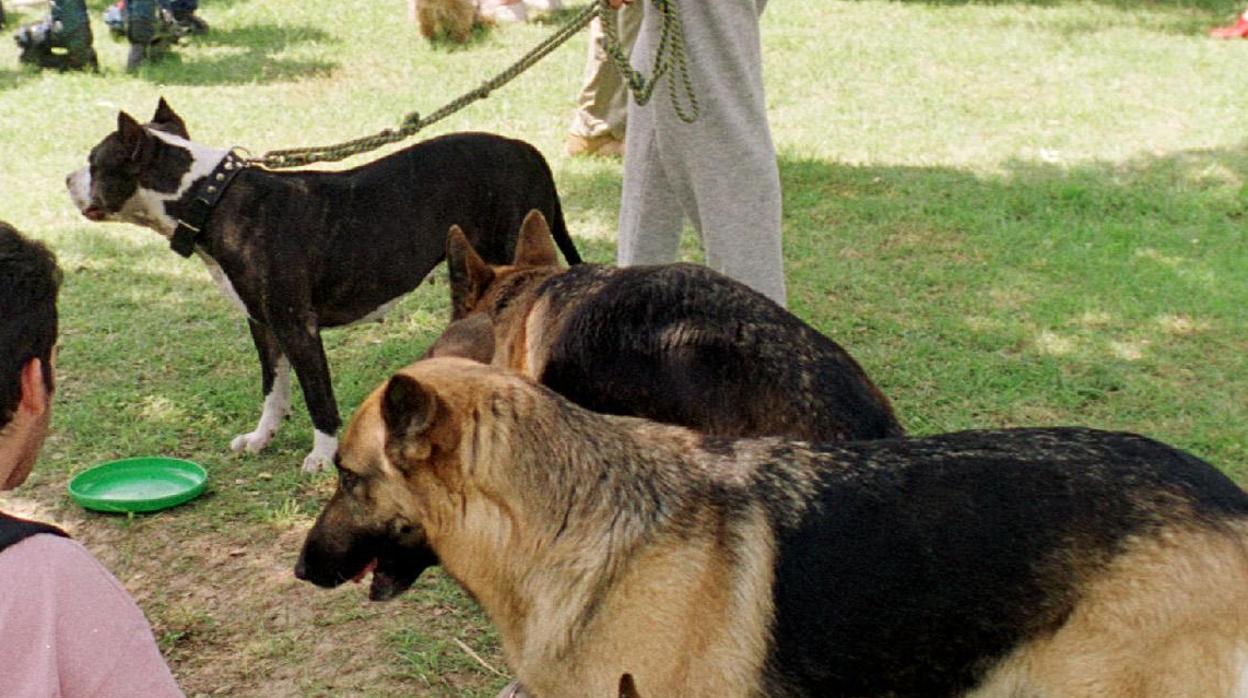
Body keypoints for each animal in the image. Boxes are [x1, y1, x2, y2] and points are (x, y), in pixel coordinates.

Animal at [63, 101, 579, 471]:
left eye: (94, 162)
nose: (67, 178)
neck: (210, 197)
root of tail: (527, 150)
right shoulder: (263, 325)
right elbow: (273, 388)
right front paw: (261, 437)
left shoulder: (297, 327)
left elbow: (318, 395)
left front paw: (322, 455)